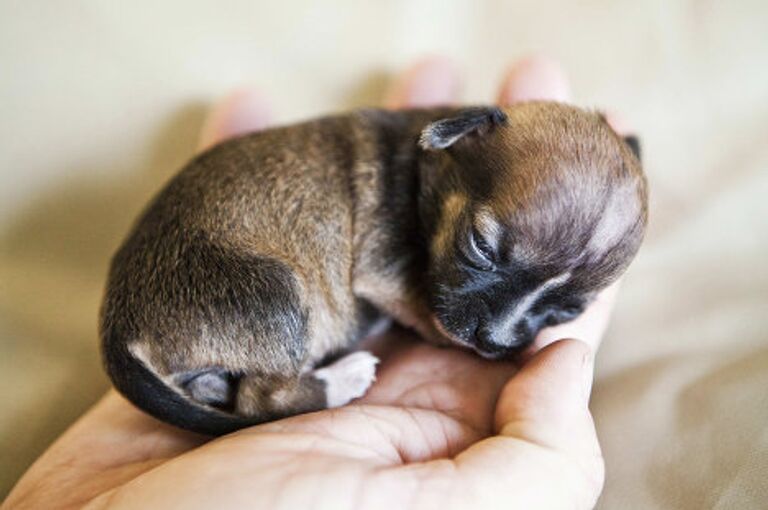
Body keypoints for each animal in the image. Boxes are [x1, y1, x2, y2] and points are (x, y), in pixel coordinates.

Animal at [99, 102, 644, 434]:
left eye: (567, 312)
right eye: (480, 246)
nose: (492, 341)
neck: (428, 168)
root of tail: (117, 330)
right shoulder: (388, 272)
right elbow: (429, 314)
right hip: (279, 296)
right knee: (262, 399)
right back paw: (343, 378)